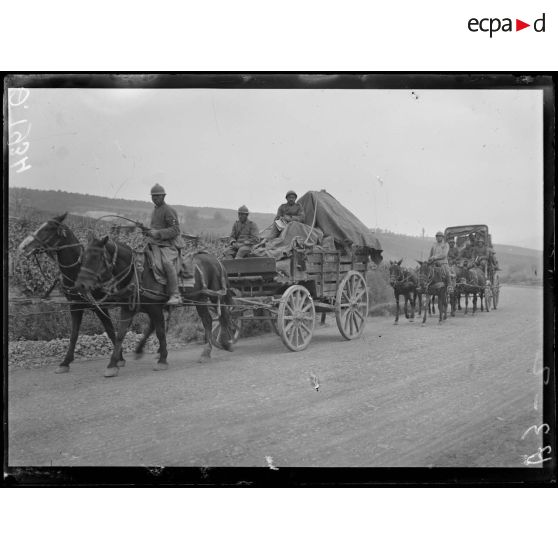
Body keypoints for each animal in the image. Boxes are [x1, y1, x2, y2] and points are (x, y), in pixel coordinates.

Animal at [17, 214, 126, 376]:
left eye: (48, 229)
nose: (23, 246)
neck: (78, 271)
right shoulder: (75, 306)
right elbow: (74, 334)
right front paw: (65, 362)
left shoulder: (100, 306)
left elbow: (111, 331)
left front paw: (118, 359)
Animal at [75, 234, 236, 378]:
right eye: (82, 258)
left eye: (96, 257)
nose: (80, 285)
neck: (137, 274)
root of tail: (215, 260)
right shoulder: (128, 309)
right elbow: (120, 335)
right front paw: (112, 365)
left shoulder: (155, 308)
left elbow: (159, 332)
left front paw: (162, 360)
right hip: (199, 298)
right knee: (212, 319)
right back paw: (217, 347)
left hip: (213, 296)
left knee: (218, 318)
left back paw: (214, 348)